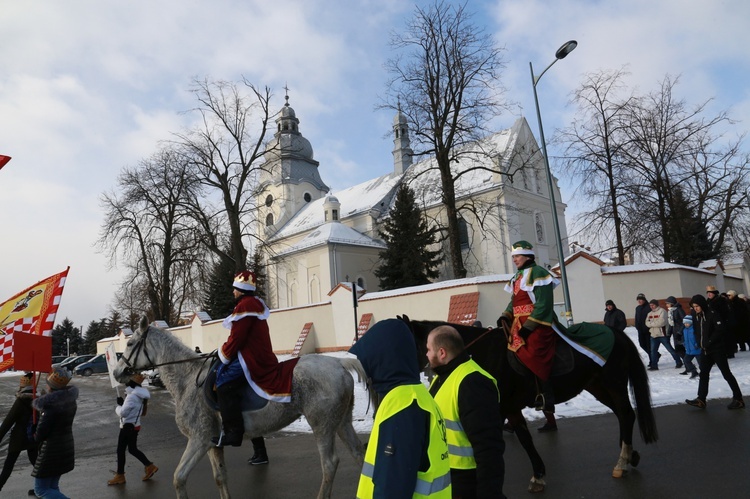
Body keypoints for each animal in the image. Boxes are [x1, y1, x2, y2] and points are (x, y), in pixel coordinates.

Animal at [112, 318, 368, 498]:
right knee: (359, 454)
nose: (116, 372)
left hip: (322, 426)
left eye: (130, 343)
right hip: (341, 423)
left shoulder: (198, 440)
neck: (188, 379)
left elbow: (179, 478)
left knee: (329, 465)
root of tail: (339, 362)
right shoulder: (213, 444)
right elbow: (220, 477)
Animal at [400, 316, 656, 492]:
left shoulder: (500, 408)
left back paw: (622, 462)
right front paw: (538, 474)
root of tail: (618, 334)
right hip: (598, 387)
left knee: (626, 414)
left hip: (613, 383)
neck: (479, 353)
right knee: (624, 415)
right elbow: (523, 438)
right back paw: (629, 455)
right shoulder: (509, 408)